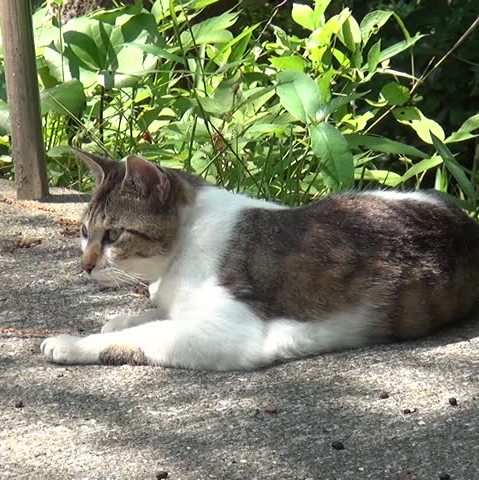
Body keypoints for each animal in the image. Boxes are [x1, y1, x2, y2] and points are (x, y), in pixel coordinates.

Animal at [40, 150, 479, 372]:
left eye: (113, 235)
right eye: (84, 231)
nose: (85, 266)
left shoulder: (226, 333)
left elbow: (141, 336)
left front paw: (71, 343)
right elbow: (147, 317)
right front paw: (122, 317)